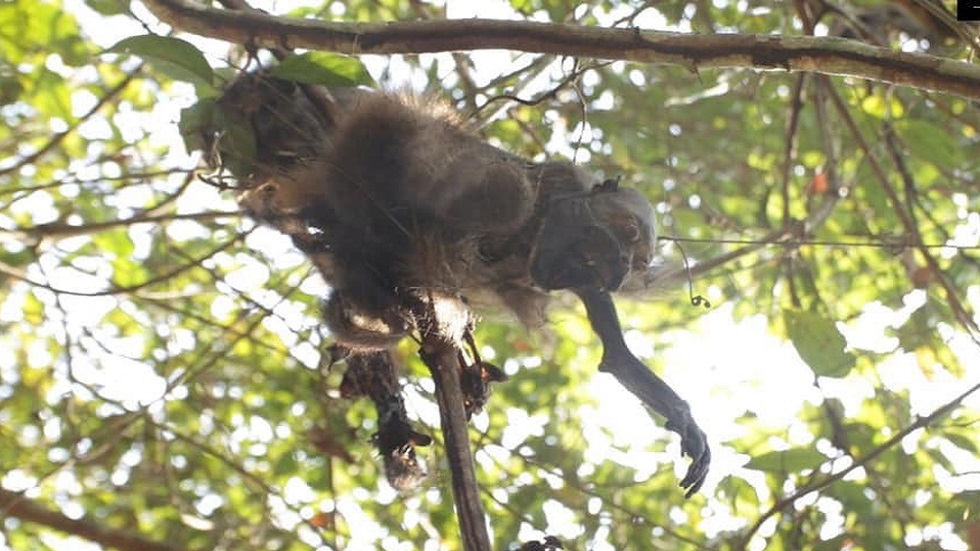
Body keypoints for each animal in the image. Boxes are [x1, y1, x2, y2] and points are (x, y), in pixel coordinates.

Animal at [216, 72, 710, 496]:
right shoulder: (528, 190)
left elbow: (617, 359)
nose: (625, 267)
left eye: (638, 257)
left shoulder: (588, 284)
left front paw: (683, 418)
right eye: (625, 232)